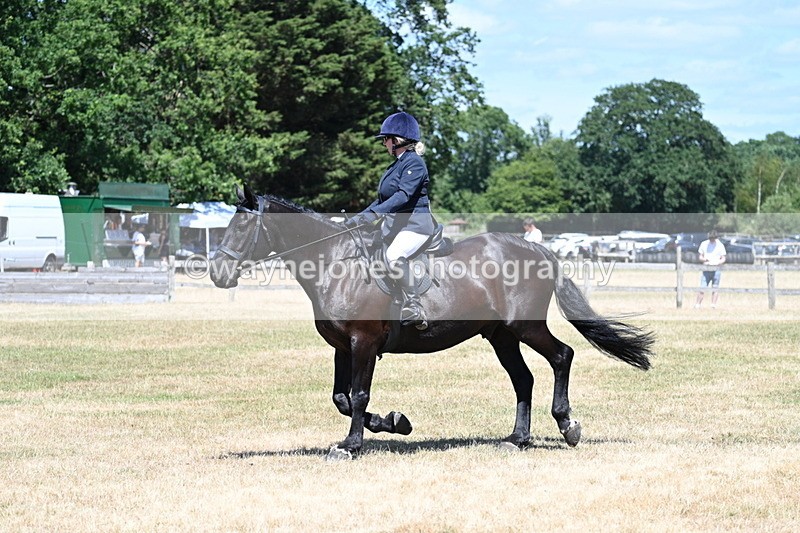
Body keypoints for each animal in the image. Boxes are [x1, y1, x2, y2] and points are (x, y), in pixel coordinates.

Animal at [210, 186, 655, 461]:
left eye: (242, 225)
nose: (217, 273)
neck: (334, 263)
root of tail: (538, 249)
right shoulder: (342, 346)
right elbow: (341, 398)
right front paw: (395, 422)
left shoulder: (363, 342)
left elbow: (358, 395)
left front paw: (352, 445)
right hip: (501, 335)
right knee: (523, 379)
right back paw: (517, 439)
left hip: (524, 326)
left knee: (562, 355)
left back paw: (567, 425)